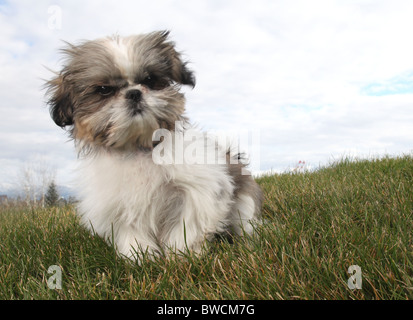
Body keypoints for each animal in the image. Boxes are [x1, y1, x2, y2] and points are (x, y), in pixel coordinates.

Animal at [46, 29, 262, 260]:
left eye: (150, 80)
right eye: (104, 90)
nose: (134, 93)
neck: (139, 148)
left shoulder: (196, 191)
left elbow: (186, 227)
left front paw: (181, 255)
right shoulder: (120, 203)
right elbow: (132, 232)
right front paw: (141, 258)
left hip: (244, 203)